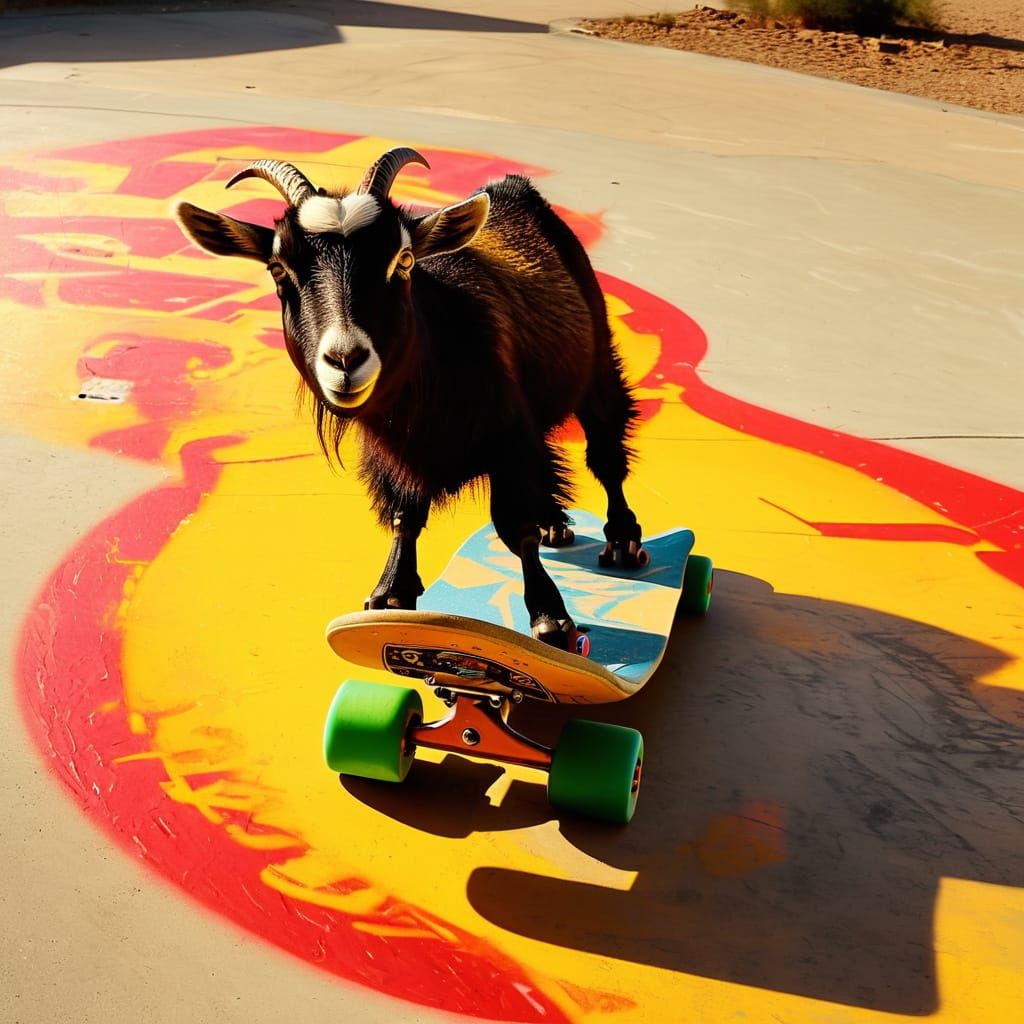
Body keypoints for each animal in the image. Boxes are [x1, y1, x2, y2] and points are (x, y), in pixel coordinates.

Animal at [175, 148, 645, 650]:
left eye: (403, 260)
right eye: (278, 268)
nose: (345, 359)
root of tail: (515, 189)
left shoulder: (510, 437)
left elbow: (516, 527)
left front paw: (551, 618)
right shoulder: (394, 454)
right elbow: (404, 515)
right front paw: (391, 593)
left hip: (598, 363)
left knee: (606, 449)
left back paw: (621, 539)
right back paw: (556, 521)